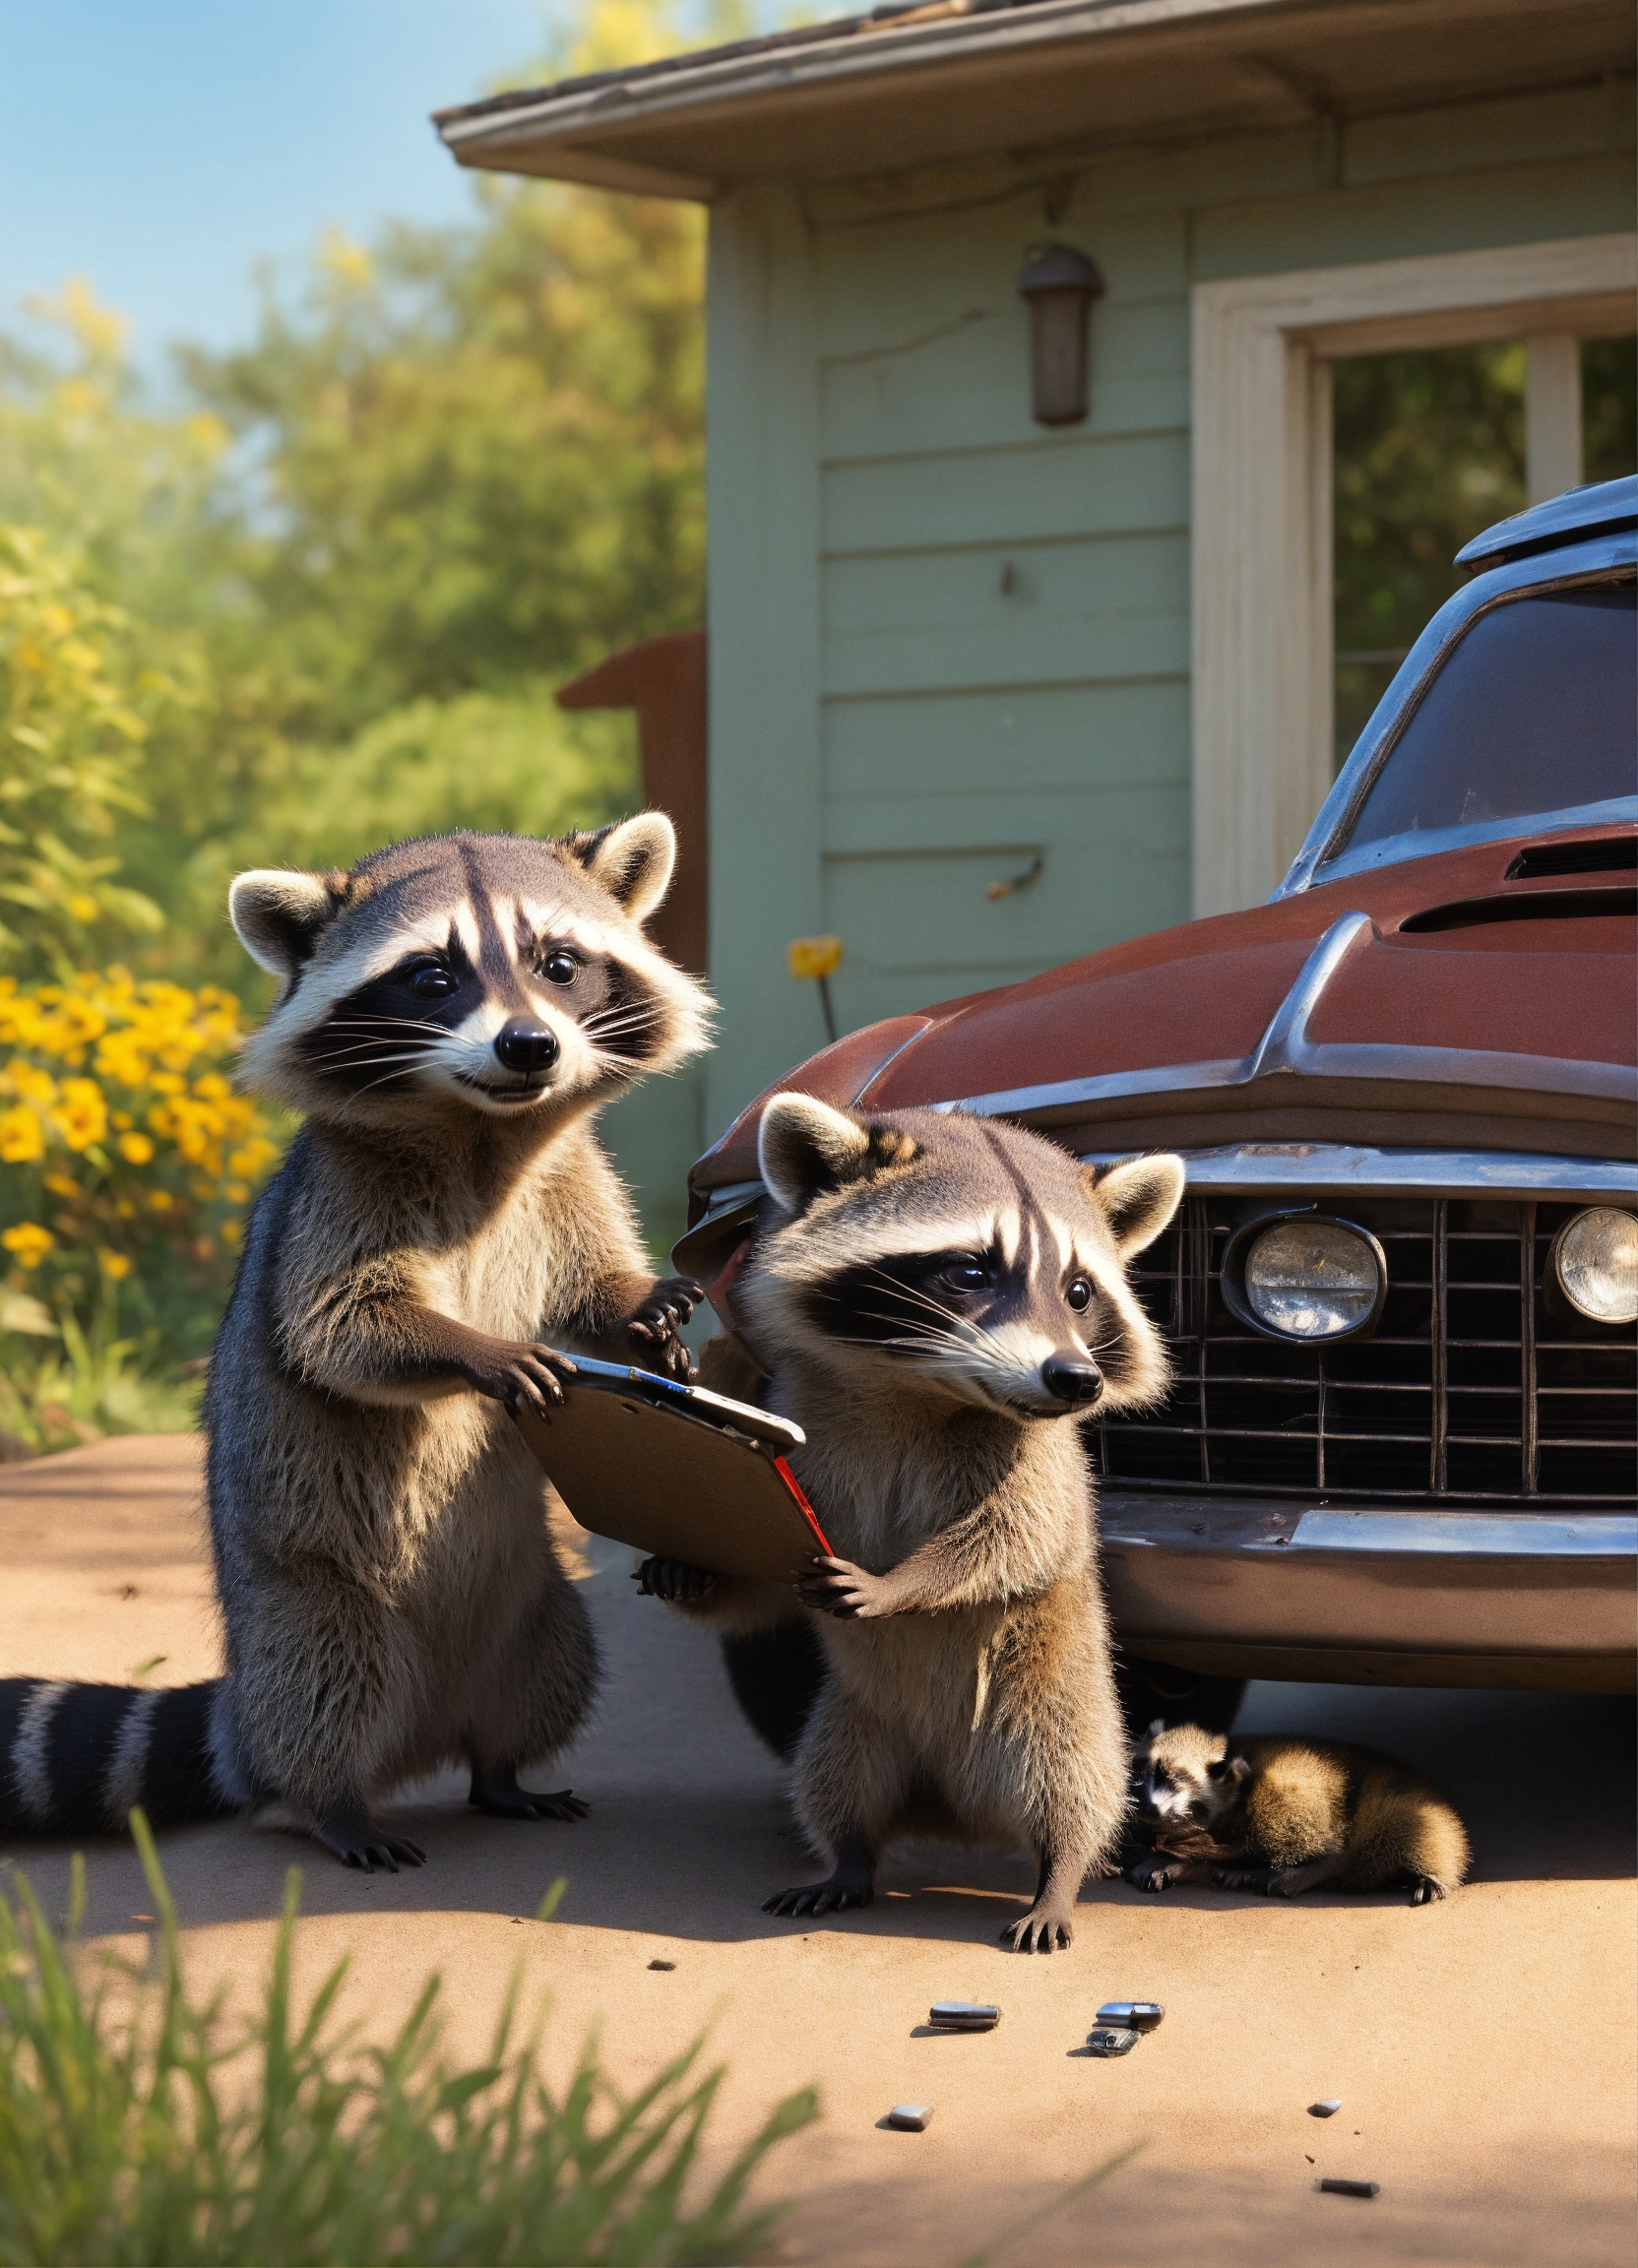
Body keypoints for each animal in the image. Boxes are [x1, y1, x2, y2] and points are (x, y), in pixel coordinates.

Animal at [1, 817, 712, 1870]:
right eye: (431, 977)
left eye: (559, 963)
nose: (530, 1046)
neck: (483, 1128)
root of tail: (433, 1727)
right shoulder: (338, 1197)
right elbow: (341, 1328)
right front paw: (477, 1349)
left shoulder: (572, 1182)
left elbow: (589, 1284)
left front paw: (643, 1311)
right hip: (310, 1607)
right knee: (326, 1690)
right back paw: (327, 1803)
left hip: (537, 1611)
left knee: (546, 1672)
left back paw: (503, 1772)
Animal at [641, 1096, 1184, 1952]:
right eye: (971, 1272)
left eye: (1078, 1292)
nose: (1076, 1379)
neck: (916, 1389)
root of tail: (960, 1813)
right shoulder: (798, 1430)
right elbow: (762, 1592)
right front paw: (690, 1567)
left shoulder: (1038, 1464)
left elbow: (1014, 1541)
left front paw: (902, 1583)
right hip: (856, 1724)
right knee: (836, 1785)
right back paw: (847, 1859)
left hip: (1052, 1702)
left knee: (1073, 1786)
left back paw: (1059, 1875)